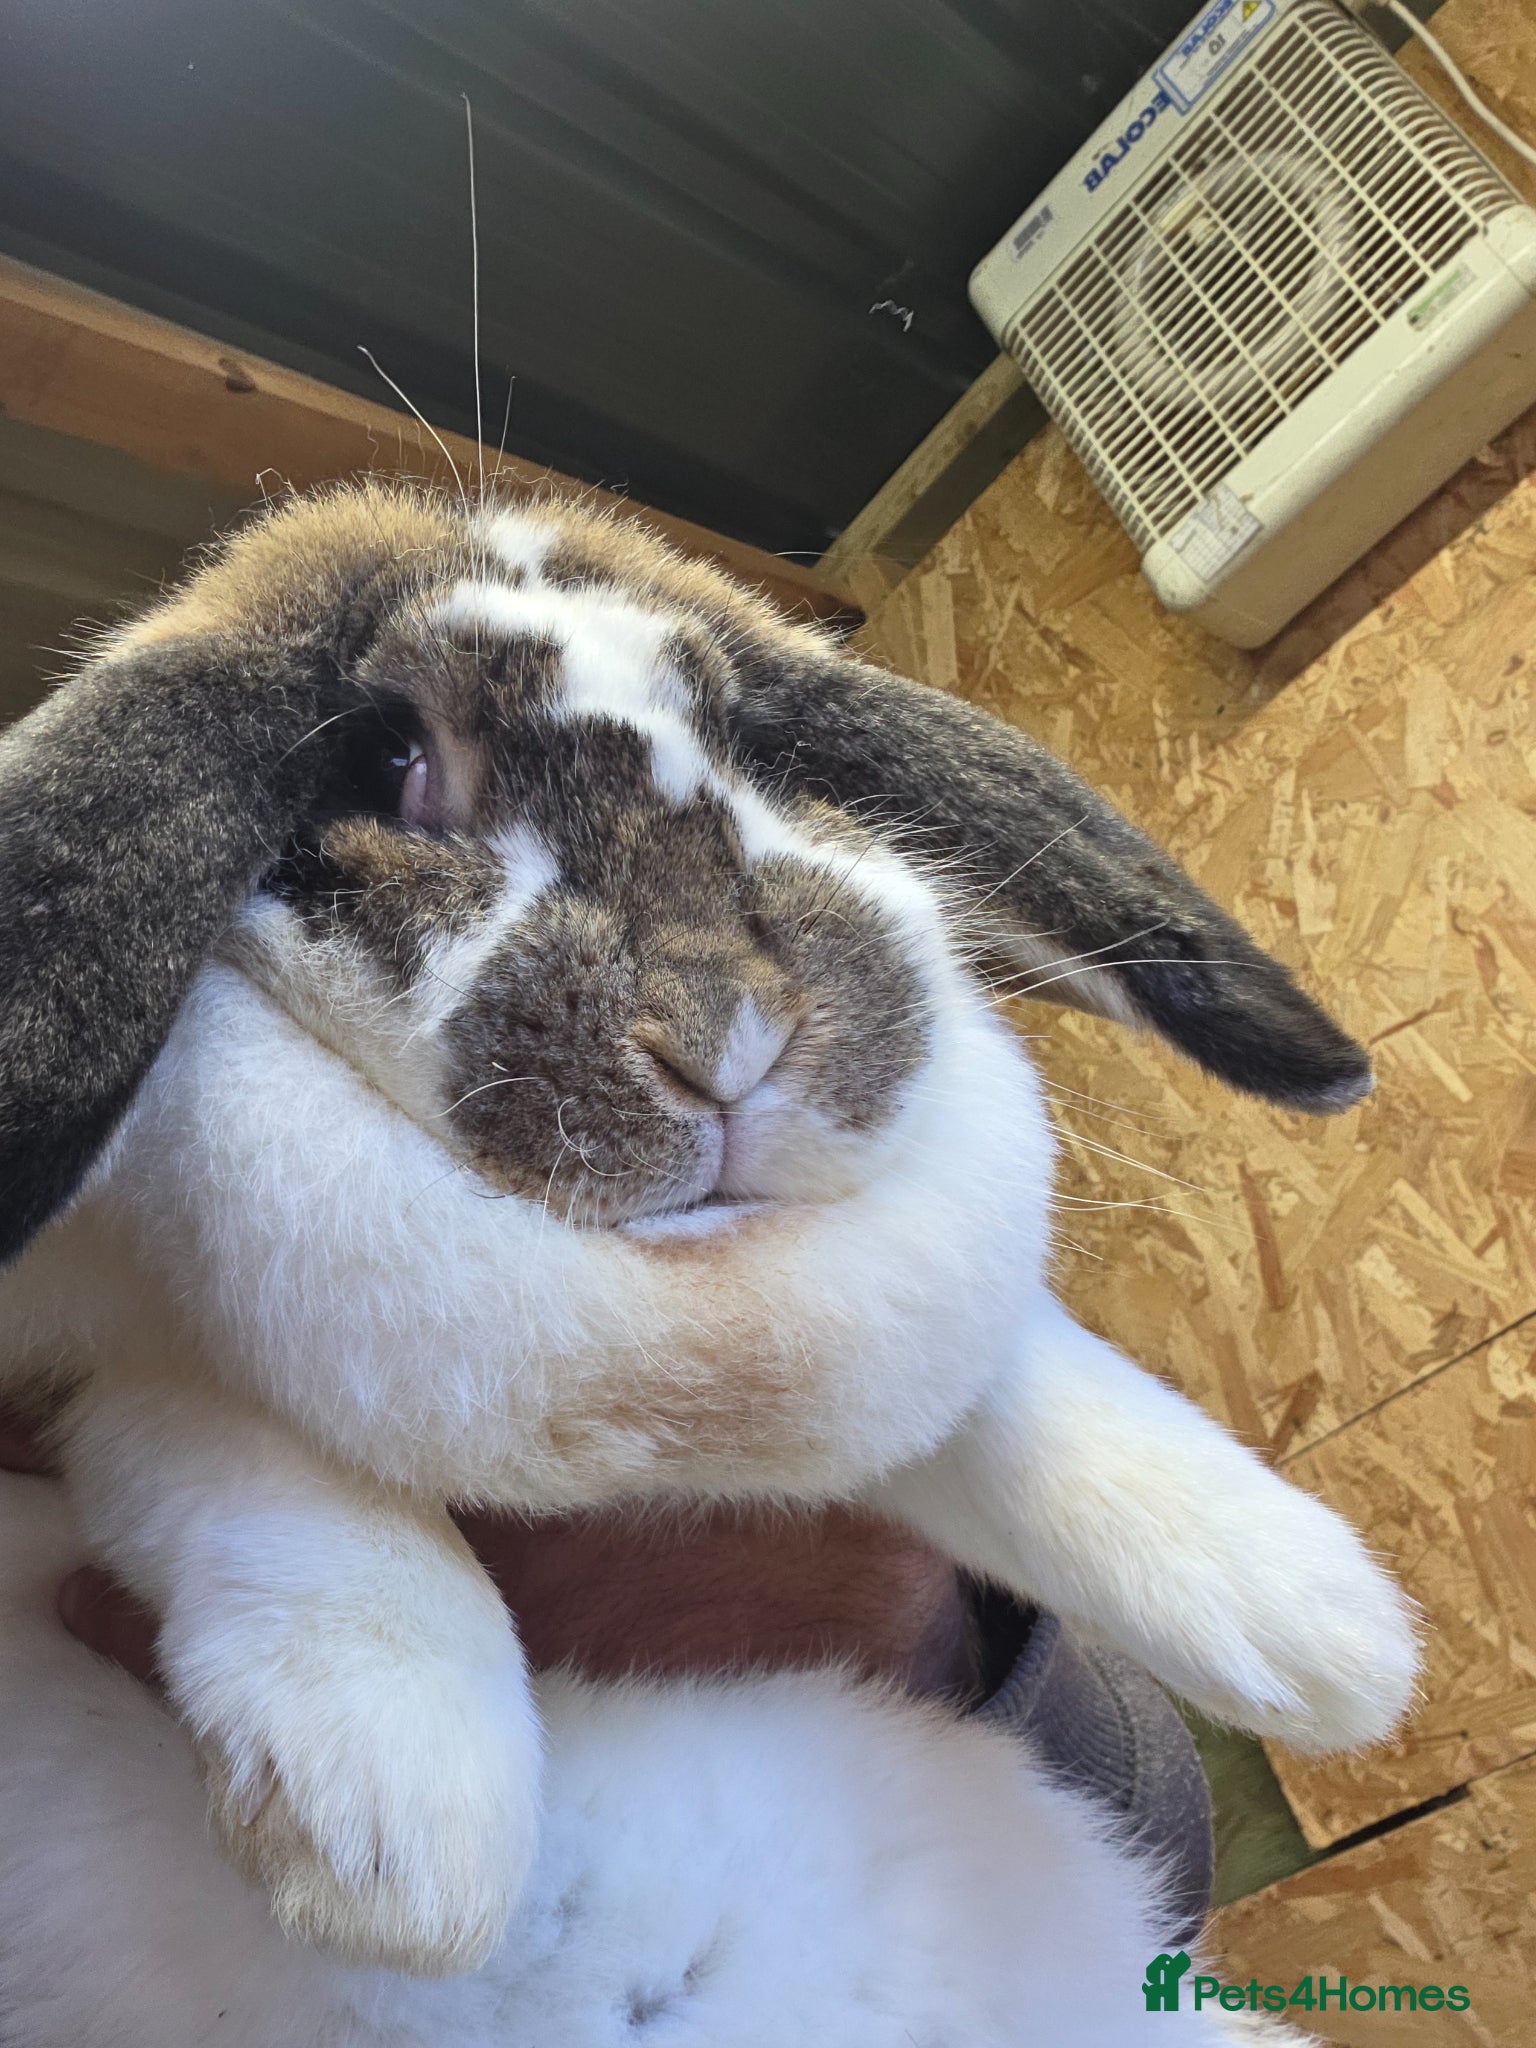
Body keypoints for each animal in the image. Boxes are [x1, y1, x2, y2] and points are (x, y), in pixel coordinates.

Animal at [0, 478, 1418, 1982]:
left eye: (754, 746)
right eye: (392, 755)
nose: (731, 1039)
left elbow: (1002, 1393)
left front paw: (1314, 1621)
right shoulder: (83, 1354)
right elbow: (213, 1424)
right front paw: (396, 1803)